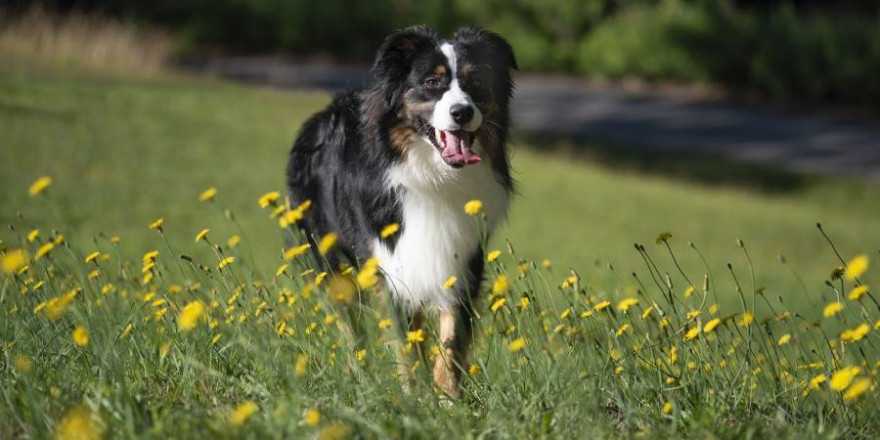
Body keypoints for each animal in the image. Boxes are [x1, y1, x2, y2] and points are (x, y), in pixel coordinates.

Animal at [286, 24, 516, 398]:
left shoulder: (460, 260)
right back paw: (359, 377)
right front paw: (416, 399)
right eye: (432, 82)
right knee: (350, 329)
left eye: (476, 81)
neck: (433, 176)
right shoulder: (392, 264)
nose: (462, 113)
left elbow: (450, 342)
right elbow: (407, 346)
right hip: (329, 260)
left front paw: (449, 401)